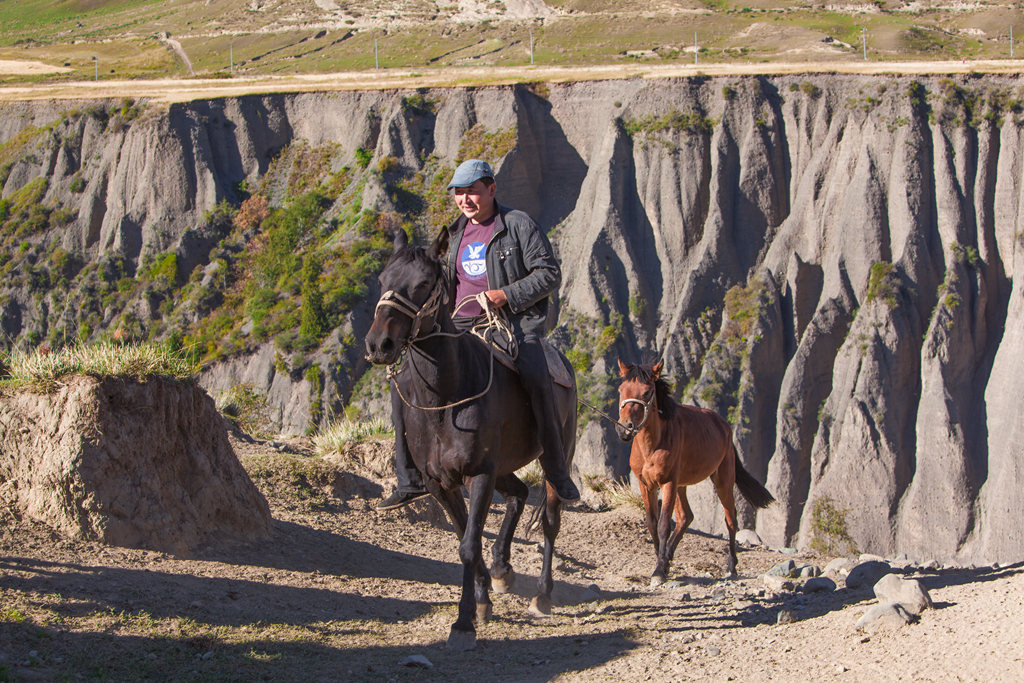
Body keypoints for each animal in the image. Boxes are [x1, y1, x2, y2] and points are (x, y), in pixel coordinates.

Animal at [362, 229, 577, 651]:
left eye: (423, 284)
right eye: (382, 280)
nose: (379, 344)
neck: (446, 399)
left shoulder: (478, 475)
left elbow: (468, 544)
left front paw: (463, 622)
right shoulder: (439, 482)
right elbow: (465, 536)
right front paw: (481, 598)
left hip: (552, 458)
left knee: (549, 520)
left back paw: (543, 594)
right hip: (503, 467)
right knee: (518, 495)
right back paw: (502, 568)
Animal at [614, 358, 774, 589]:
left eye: (647, 392)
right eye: (621, 390)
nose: (624, 429)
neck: (652, 445)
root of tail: (724, 425)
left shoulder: (668, 483)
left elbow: (663, 525)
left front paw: (659, 570)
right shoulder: (646, 485)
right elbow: (652, 523)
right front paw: (661, 563)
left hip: (722, 480)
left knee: (730, 520)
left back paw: (731, 566)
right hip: (681, 485)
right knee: (685, 517)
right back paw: (669, 557)